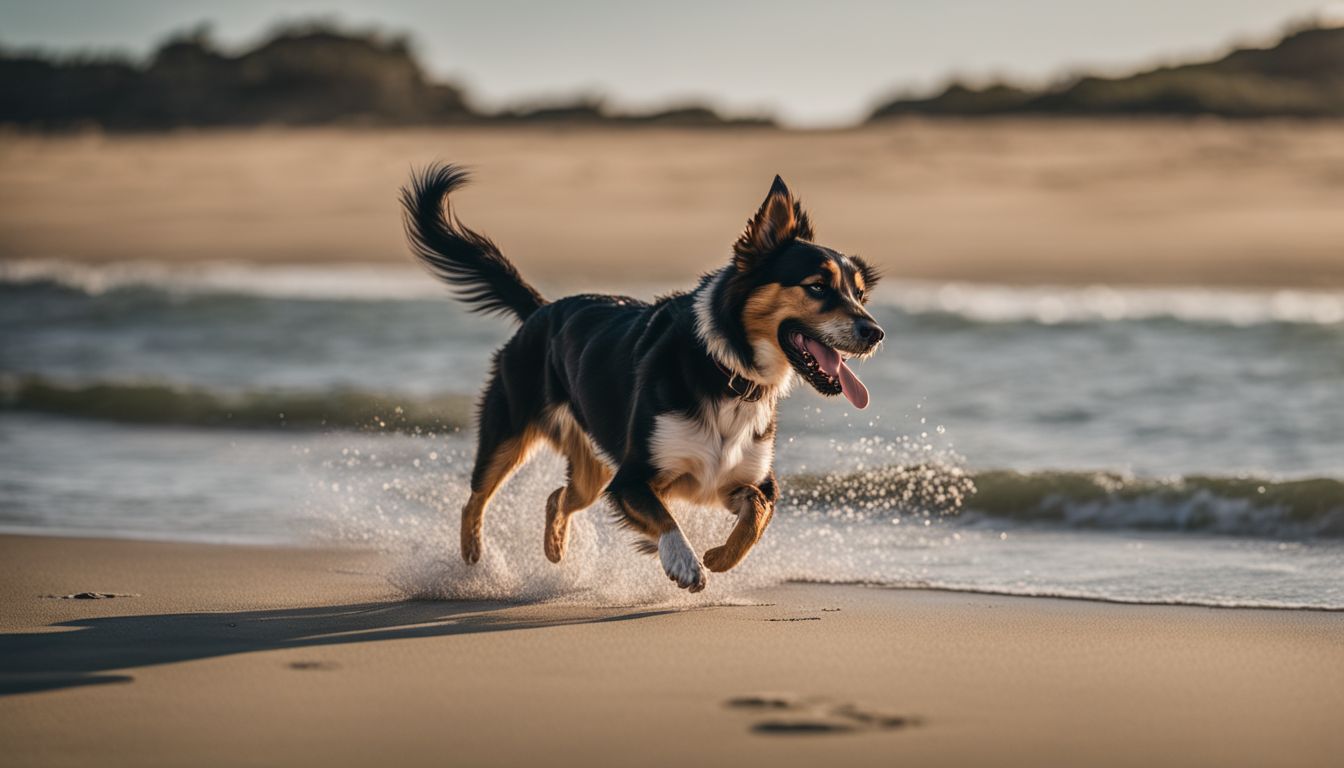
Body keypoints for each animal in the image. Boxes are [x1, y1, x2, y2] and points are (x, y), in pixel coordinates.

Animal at [397, 165, 881, 591]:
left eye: (859, 294)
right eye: (817, 286)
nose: (875, 333)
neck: (726, 369)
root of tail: (541, 309)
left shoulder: (741, 481)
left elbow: (756, 517)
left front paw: (718, 556)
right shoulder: (632, 478)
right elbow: (668, 521)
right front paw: (685, 562)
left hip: (591, 472)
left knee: (557, 497)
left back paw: (555, 549)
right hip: (510, 432)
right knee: (475, 499)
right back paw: (475, 560)